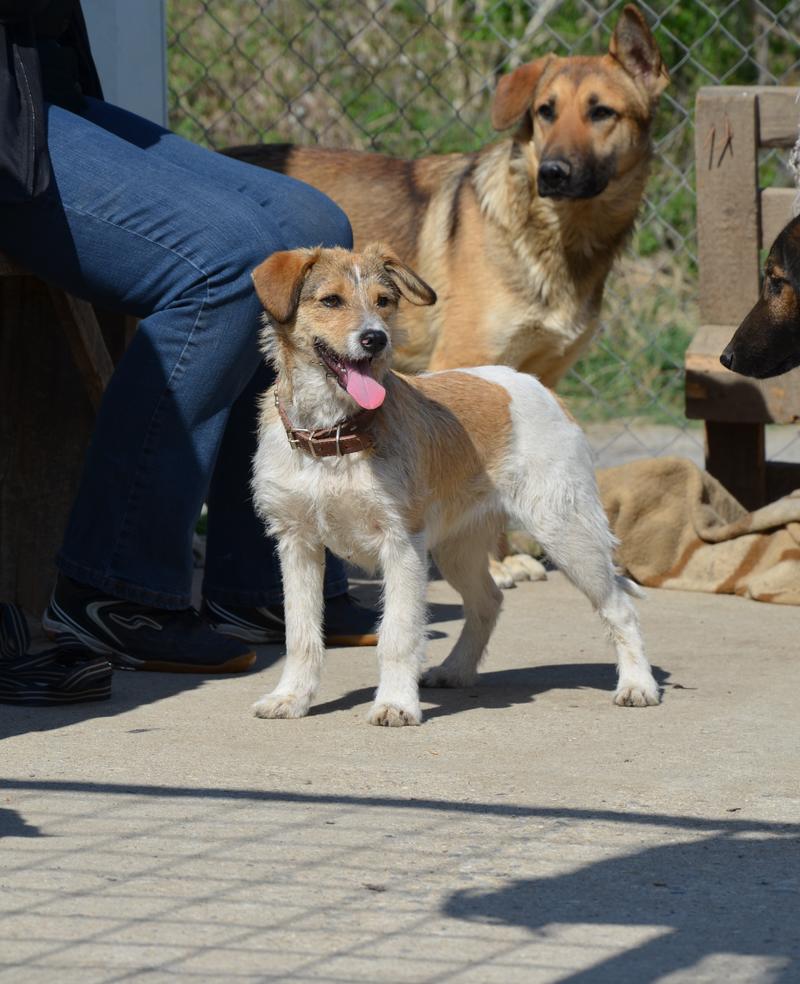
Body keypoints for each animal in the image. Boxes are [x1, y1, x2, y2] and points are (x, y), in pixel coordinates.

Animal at [228, 5, 668, 390]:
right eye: (546, 111)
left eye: (602, 112)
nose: (552, 173)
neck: (563, 237)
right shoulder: (462, 359)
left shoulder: (544, 373)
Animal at [248, 244, 659, 726]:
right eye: (331, 301)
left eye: (384, 302)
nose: (375, 339)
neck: (333, 436)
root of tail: (540, 386)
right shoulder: (298, 545)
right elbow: (301, 634)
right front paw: (292, 697)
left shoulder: (402, 546)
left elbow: (398, 633)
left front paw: (395, 703)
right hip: (456, 548)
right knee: (488, 602)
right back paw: (456, 670)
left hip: (568, 534)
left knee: (619, 606)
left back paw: (638, 684)